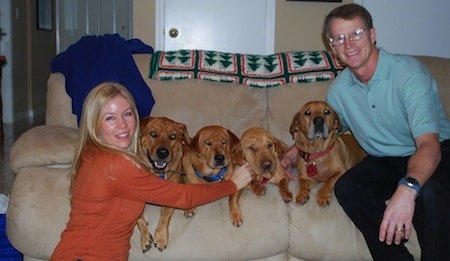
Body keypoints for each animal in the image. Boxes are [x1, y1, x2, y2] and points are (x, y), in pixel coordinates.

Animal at [135, 116, 188, 250]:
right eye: (153, 134)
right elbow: (139, 218)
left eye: (173, 136)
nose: (162, 152)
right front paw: (145, 238)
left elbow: (165, 217)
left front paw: (161, 238)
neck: (157, 174)